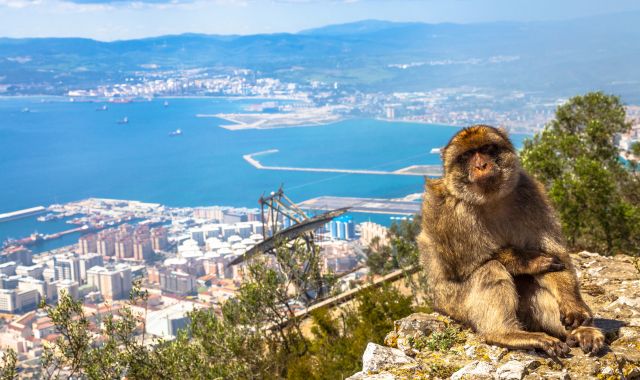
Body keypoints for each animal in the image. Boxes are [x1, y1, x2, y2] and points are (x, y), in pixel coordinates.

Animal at [420, 124, 604, 356]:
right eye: (468, 155)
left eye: (487, 149)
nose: (481, 165)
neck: (490, 200)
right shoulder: (448, 209)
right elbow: (461, 265)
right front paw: (528, 260)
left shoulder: (531, 194)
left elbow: (557, 257)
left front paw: (573, 303)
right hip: (453, 304)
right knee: (490, 269)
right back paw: (506, 334)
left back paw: (581, 332)